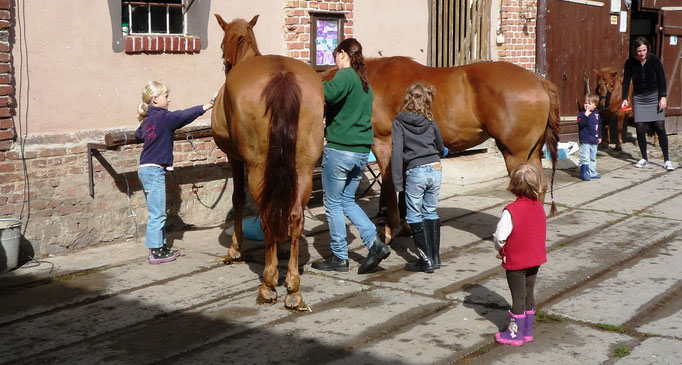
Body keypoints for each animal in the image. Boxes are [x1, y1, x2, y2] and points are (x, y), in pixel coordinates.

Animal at [211, 15, 322, 308]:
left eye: (221, 46)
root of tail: (282, 75)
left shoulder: (235, 159)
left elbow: (238, 199)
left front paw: (235, 248)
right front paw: (282, 247)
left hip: (259, 169)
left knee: (267, 215)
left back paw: (269, 283)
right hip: (303, 169)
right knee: (294, 216)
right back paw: (293, 287)